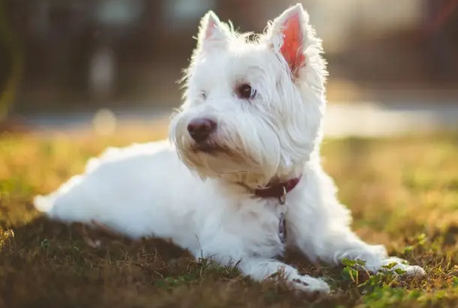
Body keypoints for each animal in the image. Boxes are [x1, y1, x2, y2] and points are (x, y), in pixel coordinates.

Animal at [34, 4, 424, 294]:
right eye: (203, 95)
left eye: (246, 90)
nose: (196, 126)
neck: (270, 192)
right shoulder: (227, 249)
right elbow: (270, 265)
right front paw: (306, 282)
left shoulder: (322, 233)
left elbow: (354, 248)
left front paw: (395, 265)